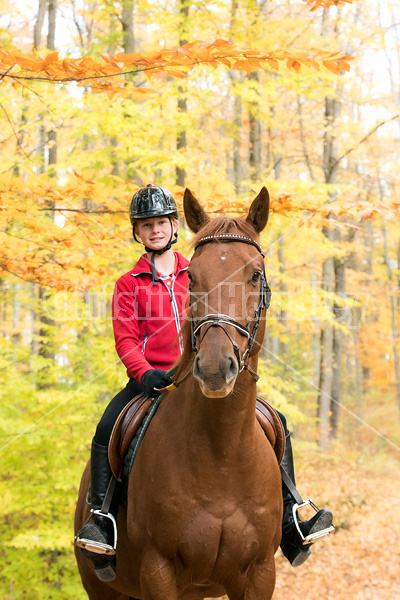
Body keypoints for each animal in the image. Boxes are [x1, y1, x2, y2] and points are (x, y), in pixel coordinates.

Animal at [74, 188, 282, 600]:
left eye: (254, 274)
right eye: (194, 277)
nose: (215, 369)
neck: (222, 456)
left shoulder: (260, 574)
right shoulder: (159, 571)